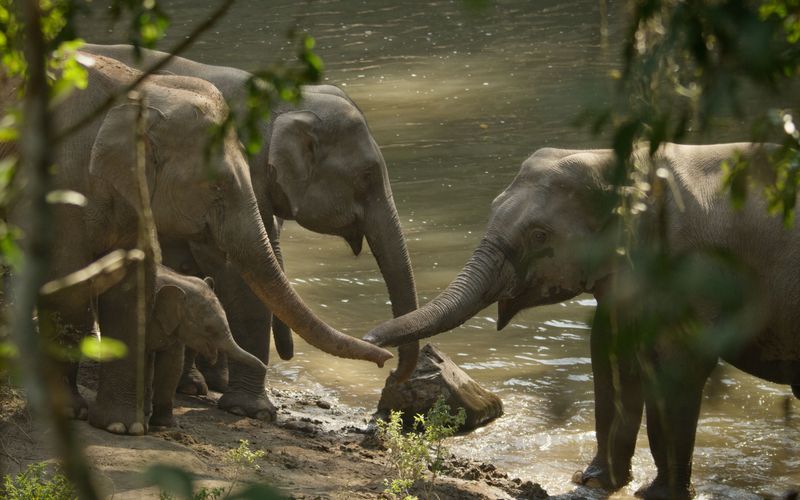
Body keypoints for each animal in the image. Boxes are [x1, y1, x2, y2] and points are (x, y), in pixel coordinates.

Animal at [145, 266, 268, 430]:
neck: (178, 278)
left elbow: (172, 364)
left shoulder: (174, 325)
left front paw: (167, 425)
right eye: (208, 329)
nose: (266, 367)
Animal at [366, 143, 800, 498]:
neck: (630, 159)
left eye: (540, 235)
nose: (371, 341)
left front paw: (655, 494)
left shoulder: (696, 269)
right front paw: (592, 481)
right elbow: (613, 352)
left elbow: (681, 364)